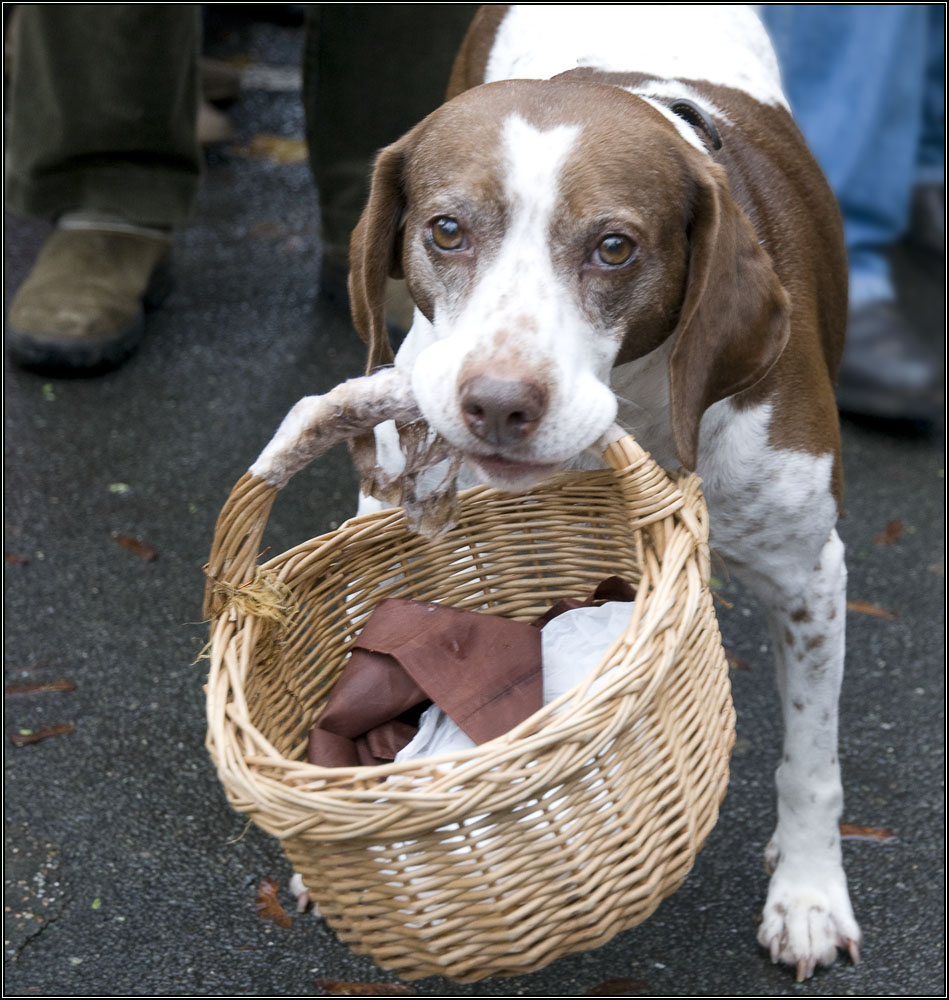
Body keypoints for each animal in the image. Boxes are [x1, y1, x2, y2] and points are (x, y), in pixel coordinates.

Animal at [346, 3, 860, 980]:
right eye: (445, 230)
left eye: (614, 247)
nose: (496, 404)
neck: (641, 402)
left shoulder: (808, 576)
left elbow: (810, 757)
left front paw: (809, 894)